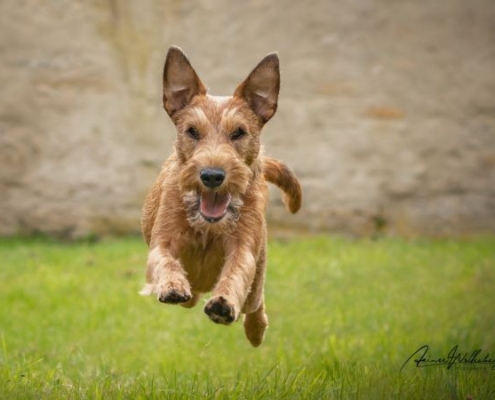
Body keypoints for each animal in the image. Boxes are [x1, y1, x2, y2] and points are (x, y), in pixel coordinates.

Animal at [140, 46, 302, 346]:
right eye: (192, 131)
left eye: (239, 132)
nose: (212, 176)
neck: (208, 227)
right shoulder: (163, 241)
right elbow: (165, 260)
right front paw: (171, 284)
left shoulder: (244, 247)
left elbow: (236, 271)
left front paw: (224, 303)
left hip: (257, 277)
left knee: (255, 302)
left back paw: (256, 330)